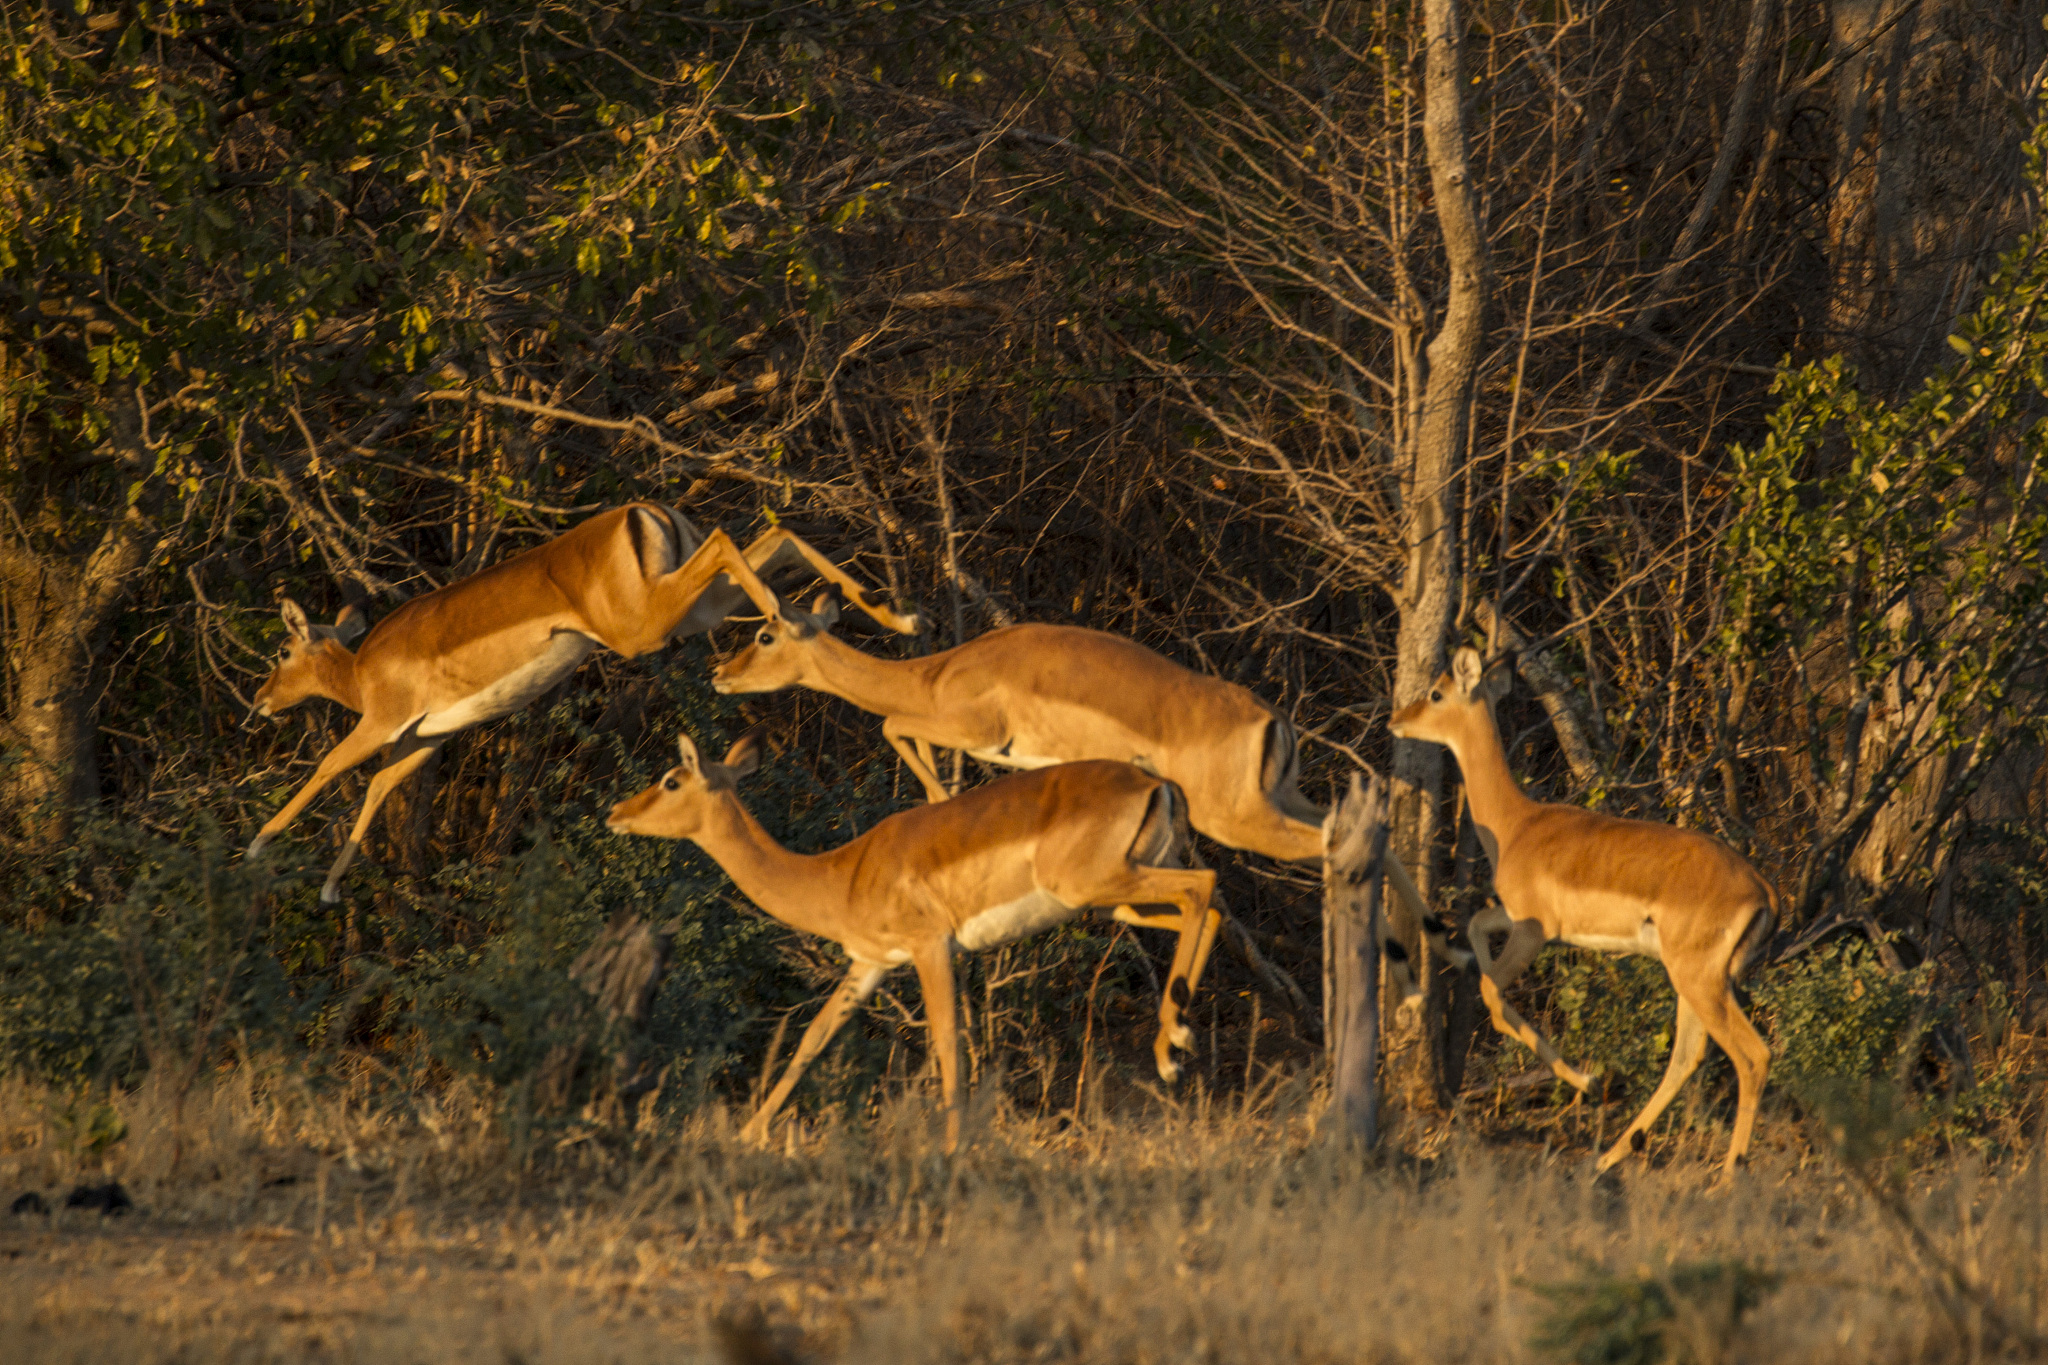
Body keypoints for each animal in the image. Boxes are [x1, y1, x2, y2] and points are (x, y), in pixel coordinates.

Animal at [249, 503, 919, 902]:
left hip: (645, 625)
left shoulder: (382, 721)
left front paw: (258, 844)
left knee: (732, 539)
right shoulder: (426, 737)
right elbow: (379, 785)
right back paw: (889, 615)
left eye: (282, 649)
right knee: (775, 536)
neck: (362, 669)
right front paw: (331, 888)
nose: (259, 702)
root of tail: (642, 512)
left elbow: (331, 766)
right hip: (688, 609)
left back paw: (792, 618)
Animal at [607, 732, 1221, 1150]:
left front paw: (952, 1147)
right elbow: (812, 1040)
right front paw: (748, 1134)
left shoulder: (931, 947)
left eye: (672, 779)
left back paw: (1172, 1050)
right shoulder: (869, 964)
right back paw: (1179, 1043)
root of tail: (1156, 785)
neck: (840, 877)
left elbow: (947, 1040)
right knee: (1210, 908)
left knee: (1204, 886)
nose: (616, 812)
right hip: (1114, 898)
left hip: (1101, 886)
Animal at [709, 594, 1451, 997]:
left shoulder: (978, 730)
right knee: (1360, 832)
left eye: (765, 633)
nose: (720, 673)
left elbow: (893, 723)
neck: (940, 673)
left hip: (1240, 820)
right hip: (1279, 801)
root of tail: (1271, 719)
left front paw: (936, 794)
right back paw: (1426, 958)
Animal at [1389, 647, 1775, 1178]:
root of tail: (1762, 891)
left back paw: (1726, 1175)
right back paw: (1612, 1155)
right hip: (1698, 980)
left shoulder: (1533, 932)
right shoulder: (1526, 922)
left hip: (1699, 979)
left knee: (1752, 1056)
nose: (1395, 720)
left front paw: (1588, 1081)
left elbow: (1492, 995)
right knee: (1688, 1055)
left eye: (1436, 692)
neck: (1518, 825)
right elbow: (1476, 927)